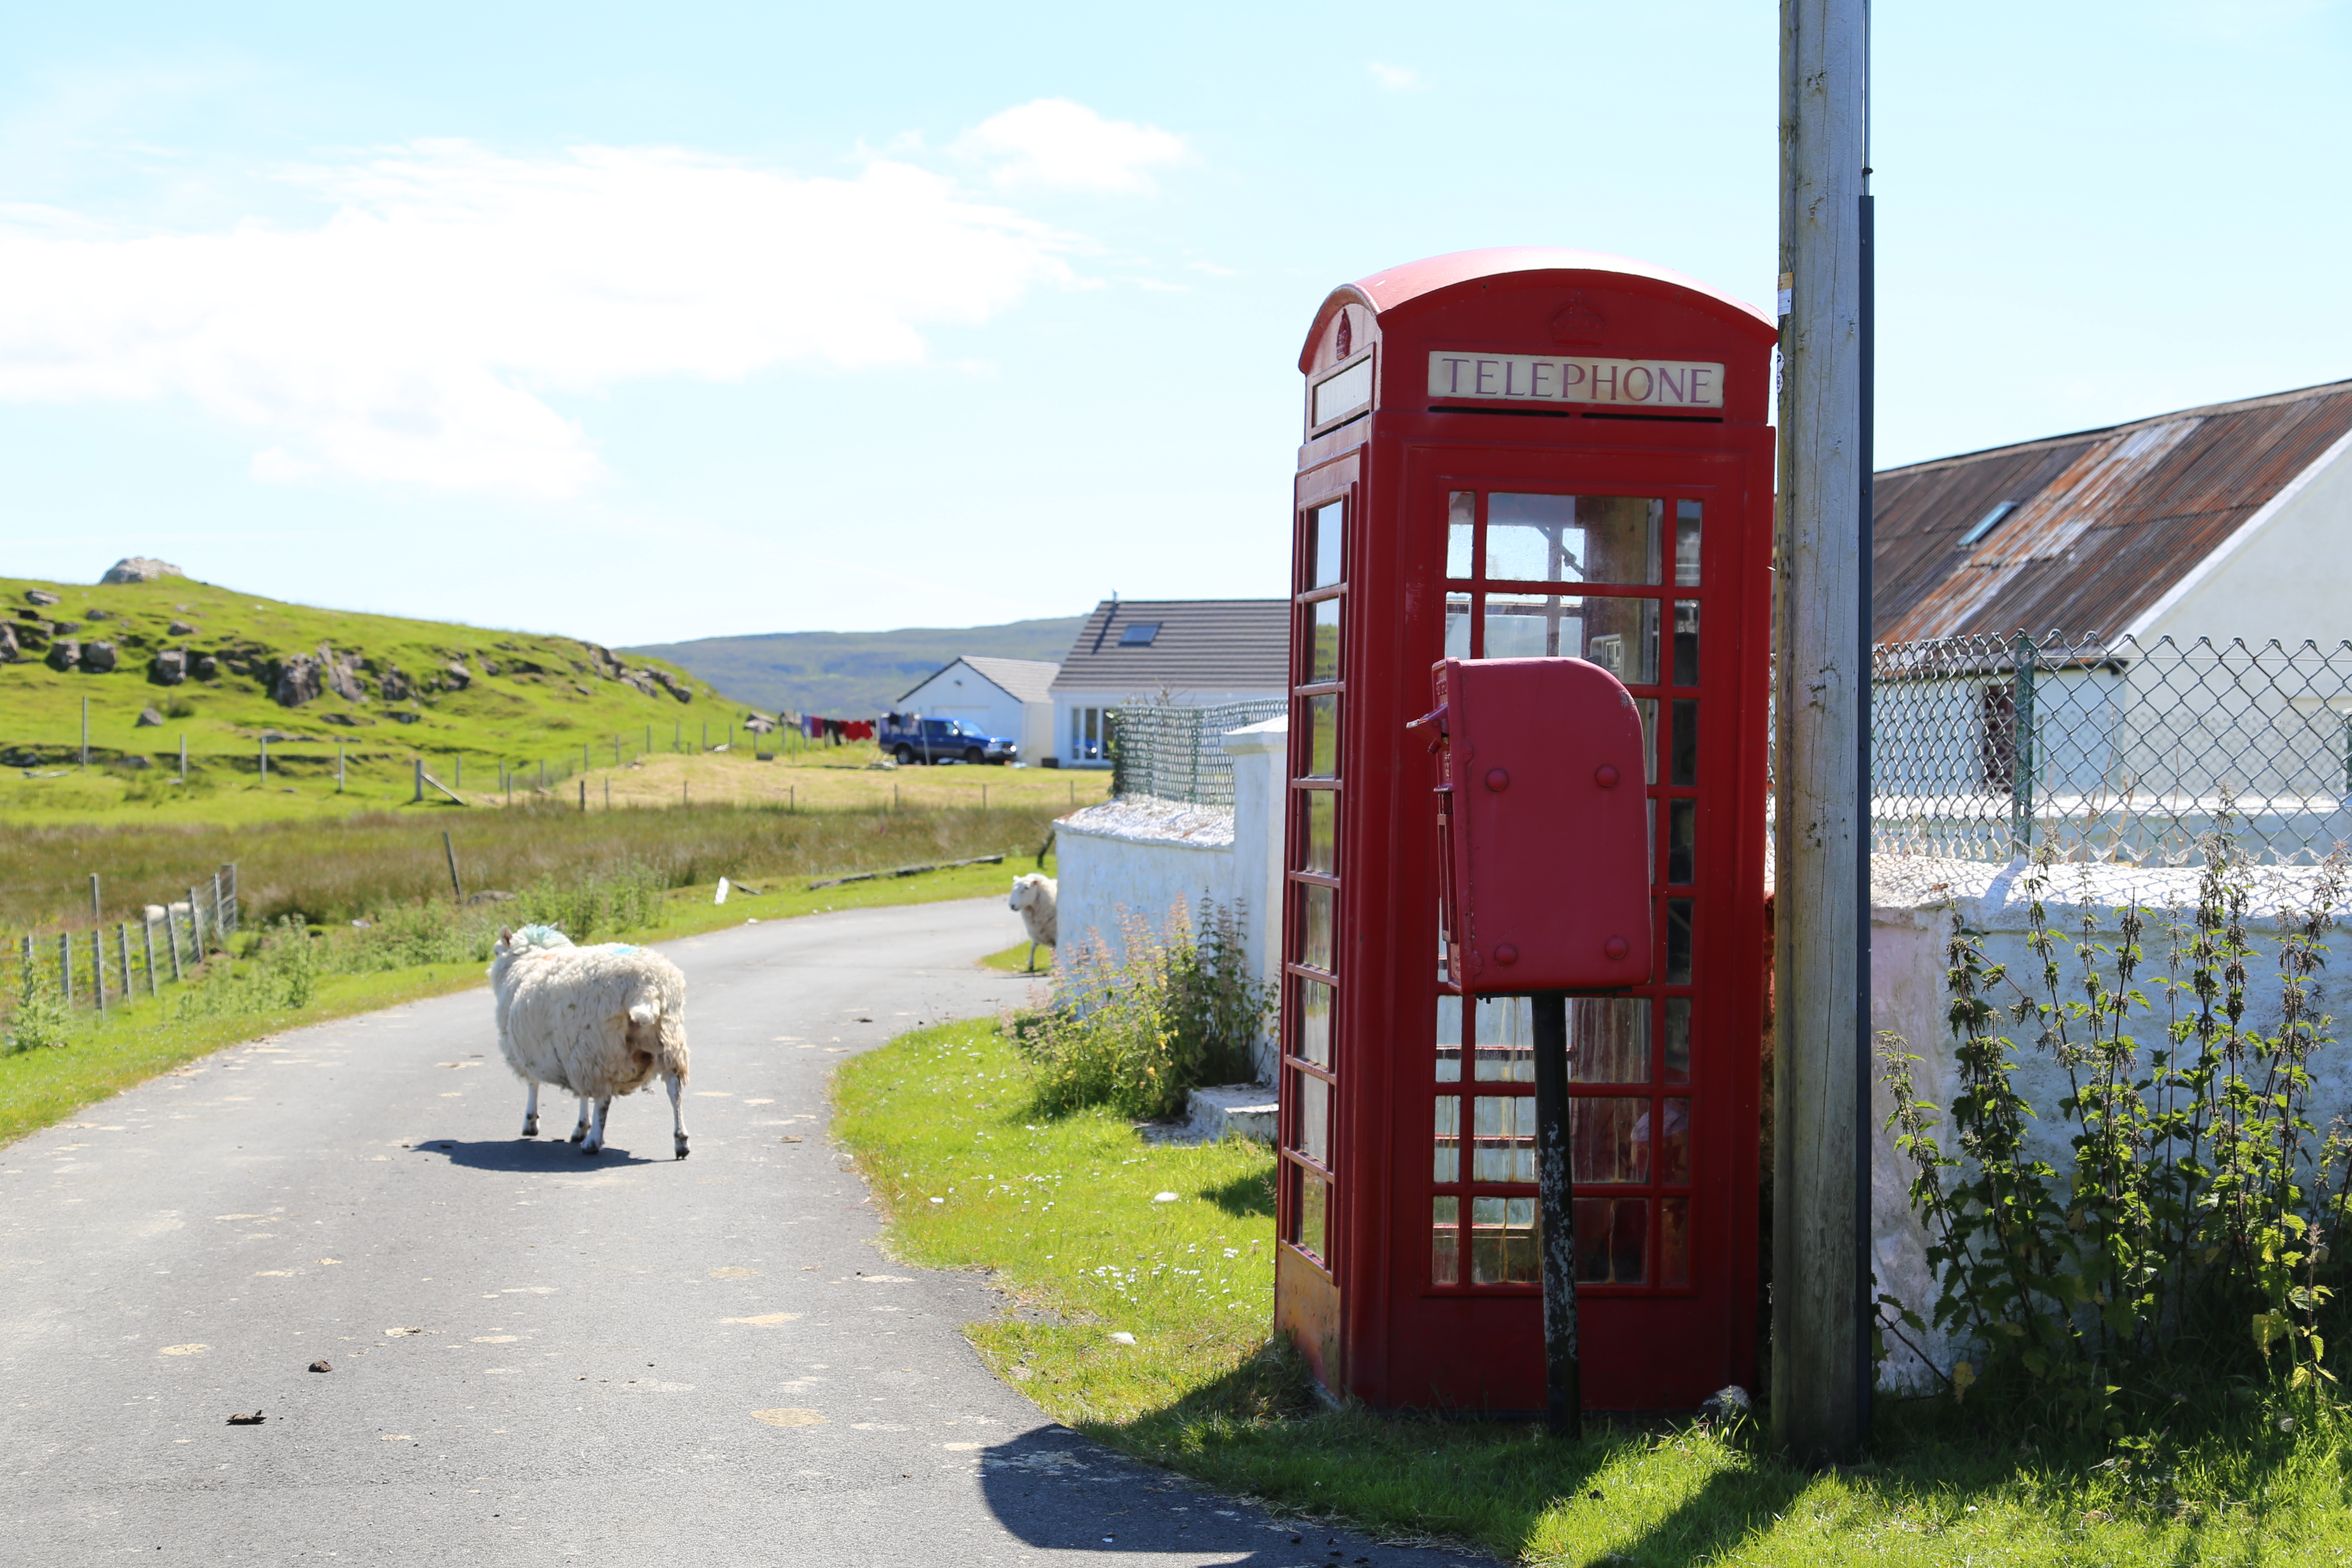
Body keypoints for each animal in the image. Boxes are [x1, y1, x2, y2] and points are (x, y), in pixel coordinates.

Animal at [489, 926, 686, 1161]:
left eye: (496, 952)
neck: (531, 960)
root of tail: (647, 987)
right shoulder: (571, 1051)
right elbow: (582, 1093)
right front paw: (580, 1127)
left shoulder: (533, 1051)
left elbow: (534, 1084)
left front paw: (532, 1122)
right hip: (669, 1041)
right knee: (675, 1090)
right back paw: (681, 1141)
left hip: (599, 1047)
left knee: (603, 1099)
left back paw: (593, 1143)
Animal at [1002, 879, 1058, 973]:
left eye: (1027, 888)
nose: (1012, 906)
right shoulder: (1041, 930)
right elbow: (1034, 947)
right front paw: (1031, 965)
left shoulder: (1052, 933)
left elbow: (1054, 950)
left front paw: (1053, 967)